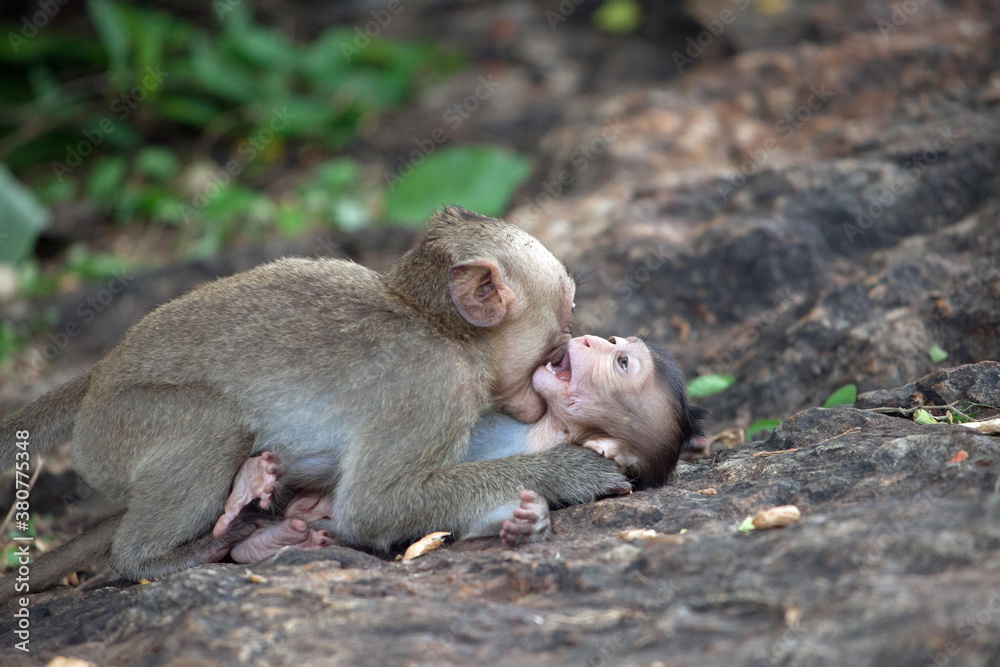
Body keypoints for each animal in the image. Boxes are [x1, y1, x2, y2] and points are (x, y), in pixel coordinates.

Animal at [0, 206, 629, 598]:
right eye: (567, 310)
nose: (577, 340)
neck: (442, 330)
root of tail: (102, 371)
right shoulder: (431, 386)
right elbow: (373, 508)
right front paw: (568, 471)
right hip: (119, 427)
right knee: (213, 424)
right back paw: (159, 557)